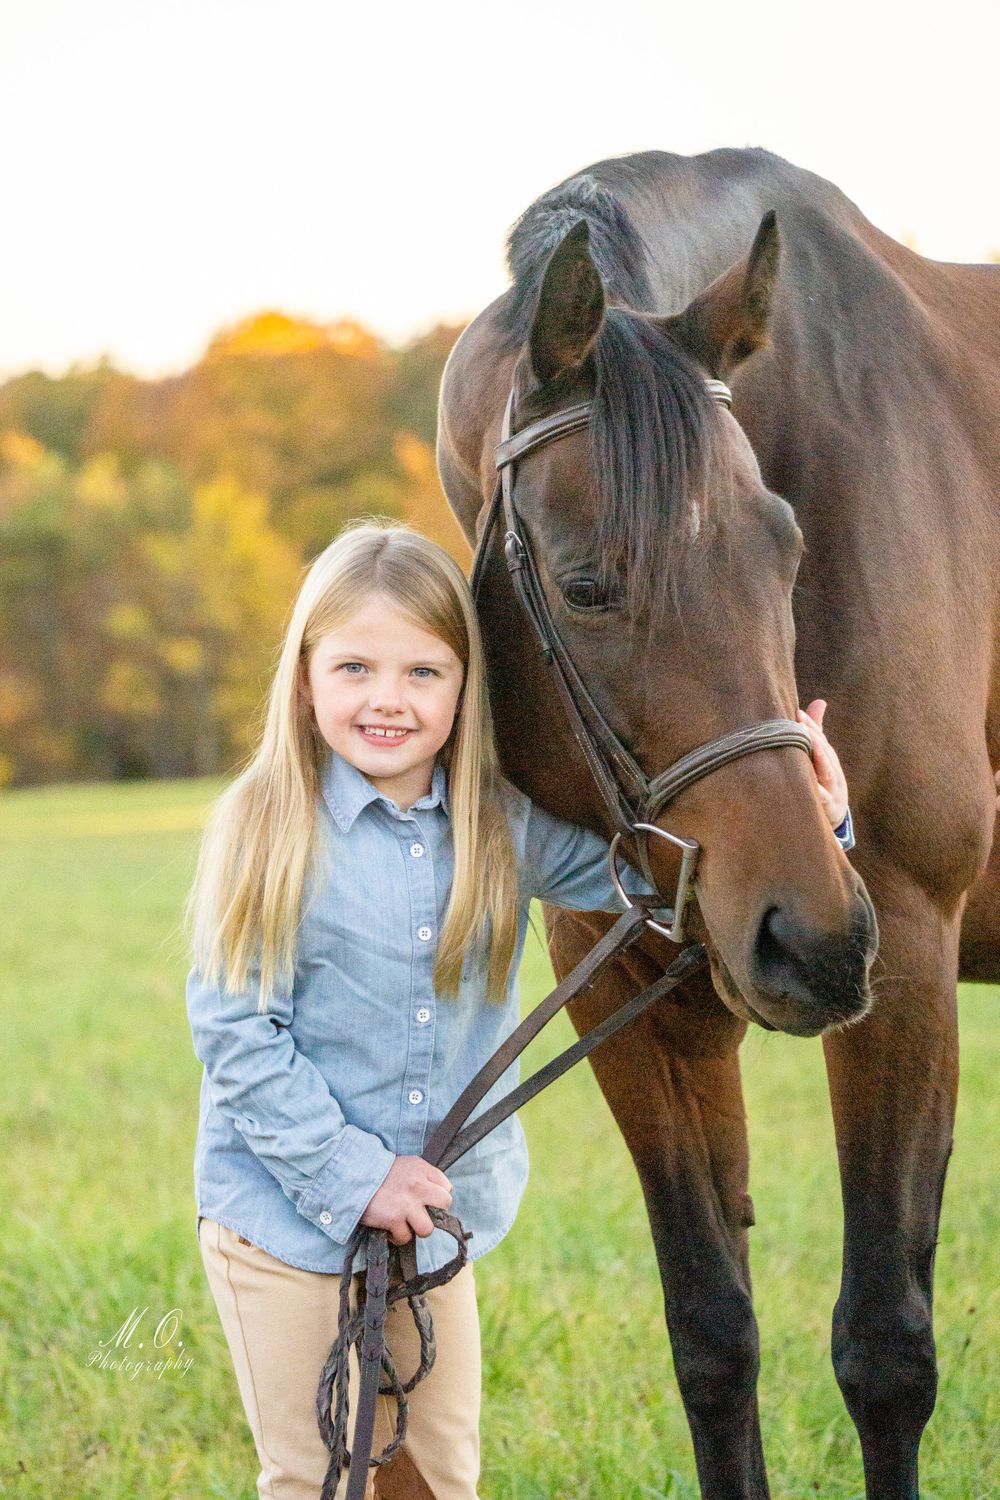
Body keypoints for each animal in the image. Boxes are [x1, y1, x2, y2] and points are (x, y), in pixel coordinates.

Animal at [435, 148, 999, 1499]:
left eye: (784, 553)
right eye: (585, 585)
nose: (808, 936)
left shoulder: (905, 953)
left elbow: (885, 1350)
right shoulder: (629, 996)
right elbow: (712, 1339)